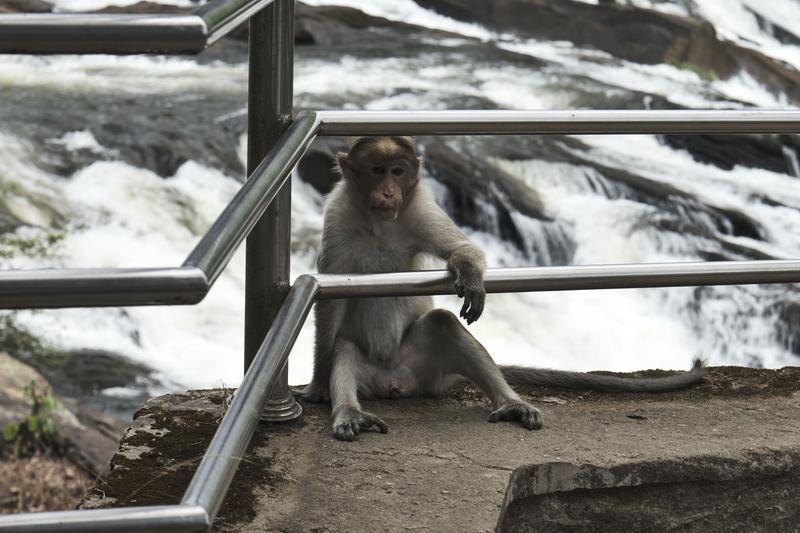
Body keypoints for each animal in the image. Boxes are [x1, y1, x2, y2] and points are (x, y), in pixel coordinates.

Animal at [296, 137, 704, 440]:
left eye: (397, 171)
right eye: (377, 171)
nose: (388, 192)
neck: (379, 223)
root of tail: (395, 384)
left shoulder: (419, 209)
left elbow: (462, 249)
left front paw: (470, 274)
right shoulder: (337, 217)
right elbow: (328, 302)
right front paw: (317, 384)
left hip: (425, 369)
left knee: (444, 324)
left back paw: (510, 402)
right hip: (372, 373)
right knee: (343, 348)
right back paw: (349, 411)